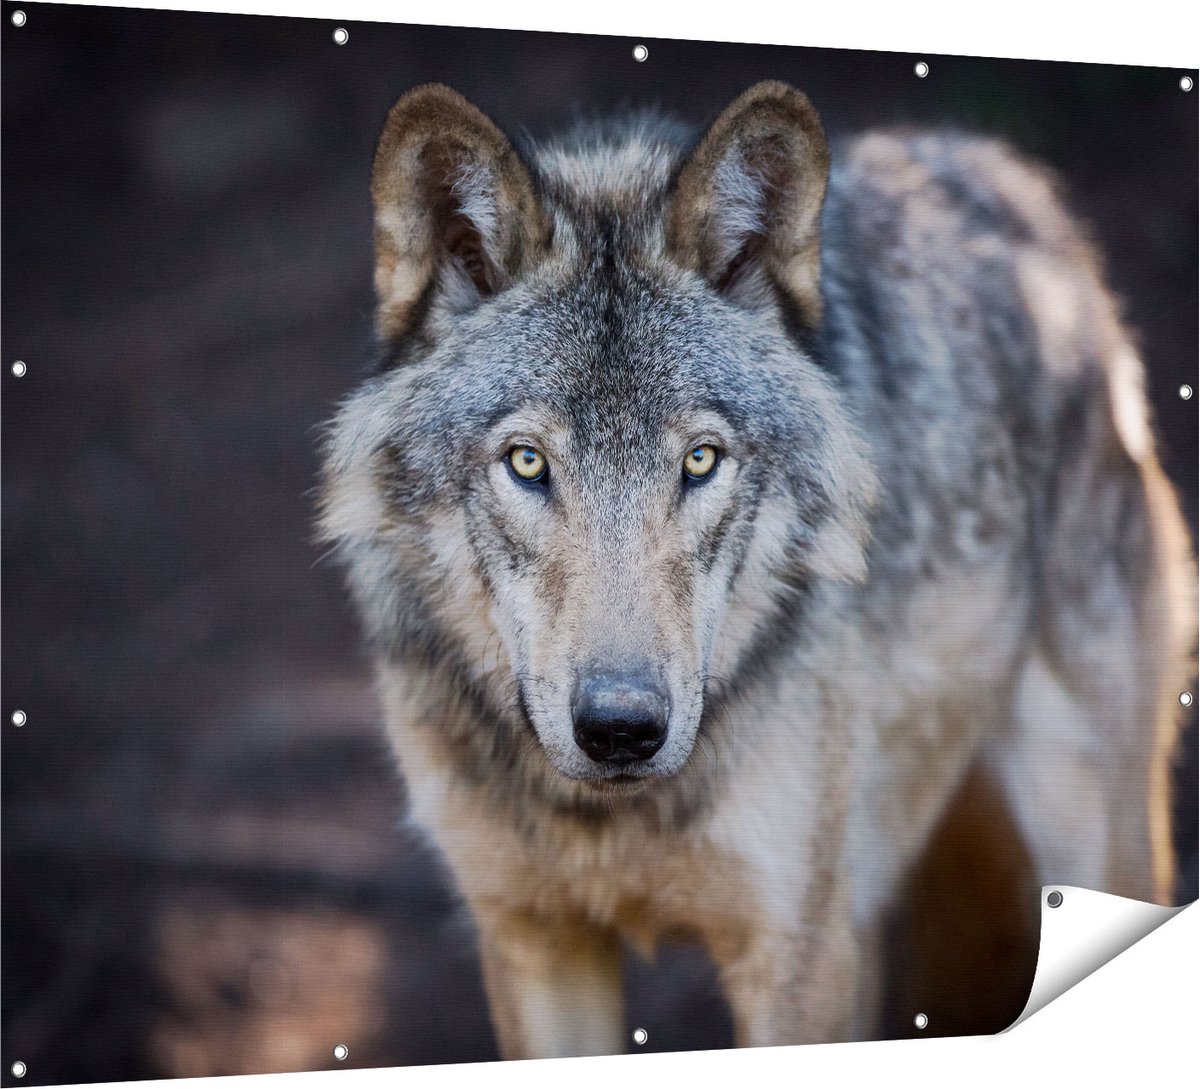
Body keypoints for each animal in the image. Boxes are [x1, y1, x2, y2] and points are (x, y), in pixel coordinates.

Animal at [319, 80, 1195, 1056]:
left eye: (700, 460)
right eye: (528, 462)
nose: (621, 729)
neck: (610, 819)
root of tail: (1007, 181)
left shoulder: (794, 953)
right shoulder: (534, 941)